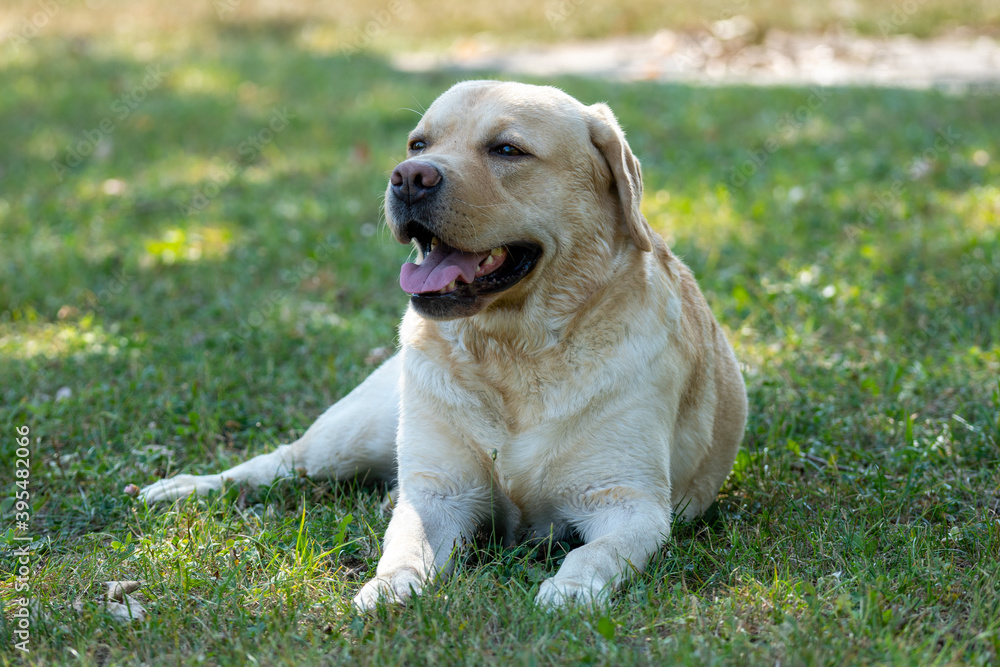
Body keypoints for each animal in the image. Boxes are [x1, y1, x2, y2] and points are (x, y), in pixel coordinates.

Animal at [143, 79, 752, 612]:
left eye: (506, 150)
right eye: (419, 144)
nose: (409, 177)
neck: (512, 351)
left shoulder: (629, 505)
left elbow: (593, 554)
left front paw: (571, 589)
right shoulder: (441, 495)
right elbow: (407, 546)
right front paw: (390, 587)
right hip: (350, 438)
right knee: (278, 463)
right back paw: (181, 488)